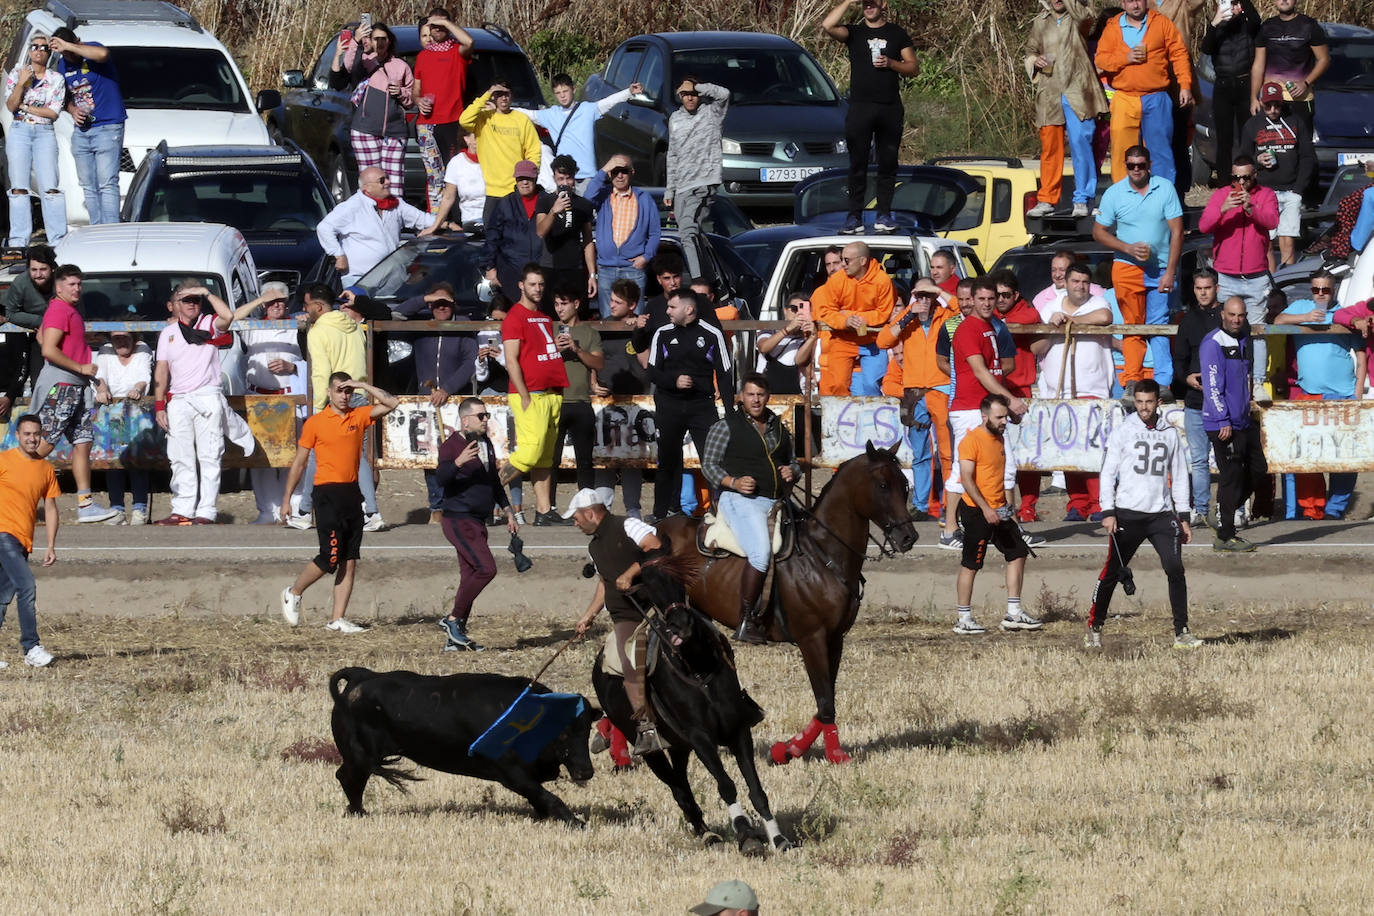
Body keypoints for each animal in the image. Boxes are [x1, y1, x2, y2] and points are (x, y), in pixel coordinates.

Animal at [329, 667, 599, 823]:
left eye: (587, 730)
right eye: (563, 733)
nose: (585, 771)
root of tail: (361, 677)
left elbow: (539, 797)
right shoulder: (511, 772)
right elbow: (547, 796)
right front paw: (575, 822)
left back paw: (357, 811)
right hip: (361, 753)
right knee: (348, 777)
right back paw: (358, 812)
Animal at [651, 444, 917, 769]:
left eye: (904, 485)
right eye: (882, 485)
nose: (908, 537)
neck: (822, 555)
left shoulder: (835, 639)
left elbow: (826, 699)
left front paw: (789, 749)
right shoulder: (811, 639)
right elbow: (825, 702)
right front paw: (834, 754)